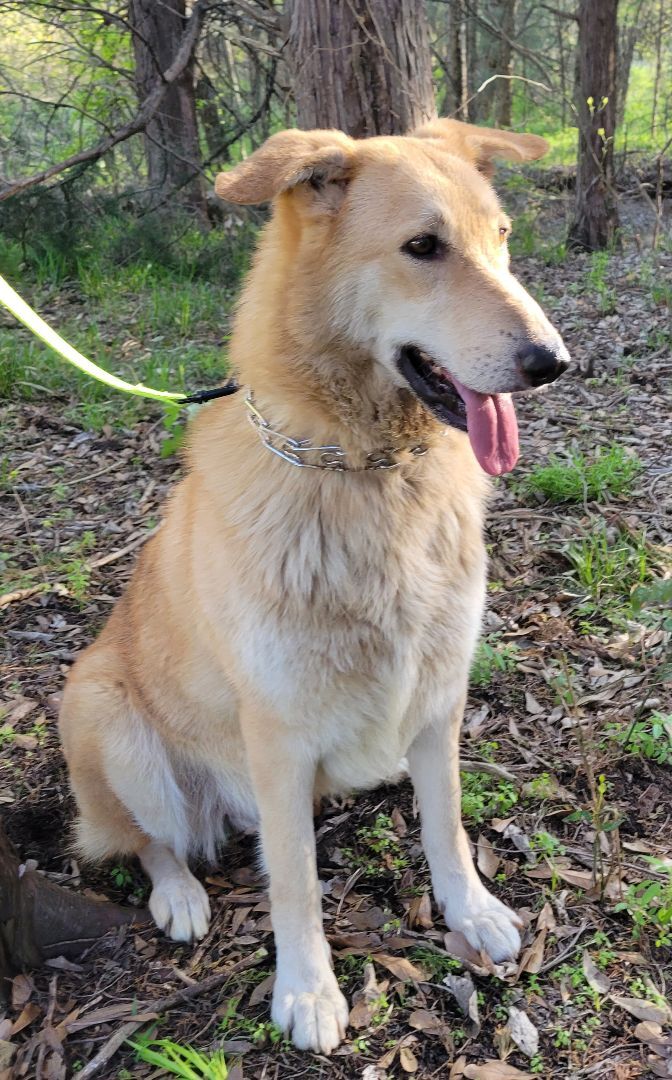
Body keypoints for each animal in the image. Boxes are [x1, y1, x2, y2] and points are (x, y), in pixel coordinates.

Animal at [60, 120, 570, 1054]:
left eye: (503, 239)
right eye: (423, 247)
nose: (552, 361)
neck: (363, 472)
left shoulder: (439, 696)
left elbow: (447, 824)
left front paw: (470, 910)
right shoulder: (276, 731)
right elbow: (293, 879)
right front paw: (306, 988)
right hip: (104, 713)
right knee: (147, 839)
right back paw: (180, 893)